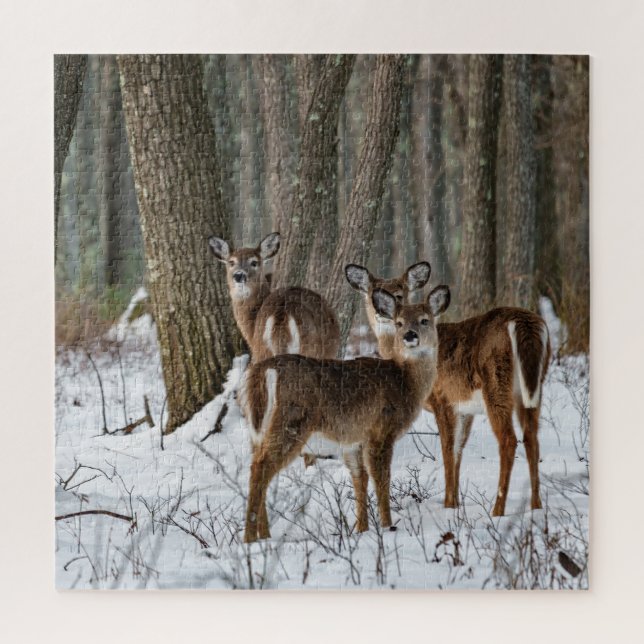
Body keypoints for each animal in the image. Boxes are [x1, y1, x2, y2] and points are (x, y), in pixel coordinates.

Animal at [238, 283, 451, 543]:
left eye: (424, 320)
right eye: (399, 322)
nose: (410, 335)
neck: (404, 381)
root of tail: (263, 371)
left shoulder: (353, 441)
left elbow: (360, 479)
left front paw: (361, 529)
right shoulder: (381, 429)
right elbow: (382, 479)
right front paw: (387, 526)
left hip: (256, 430)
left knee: (257, 465)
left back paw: (265, 535)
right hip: (291, 422)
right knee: (260, 468)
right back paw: (250, 538)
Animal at [345, 263, 551, 517]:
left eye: (400, 293)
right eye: (371, 292)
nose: (380, 311)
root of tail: (524, 323)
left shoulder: (441, 399)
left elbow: (447, 449)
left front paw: (448, 504)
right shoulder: (465, 408)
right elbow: (459, 449)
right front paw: (455, 503)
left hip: (496, 382)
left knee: (509, 439)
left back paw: (497, 510)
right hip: (533, 387)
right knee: (532, 438)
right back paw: (536, 506)